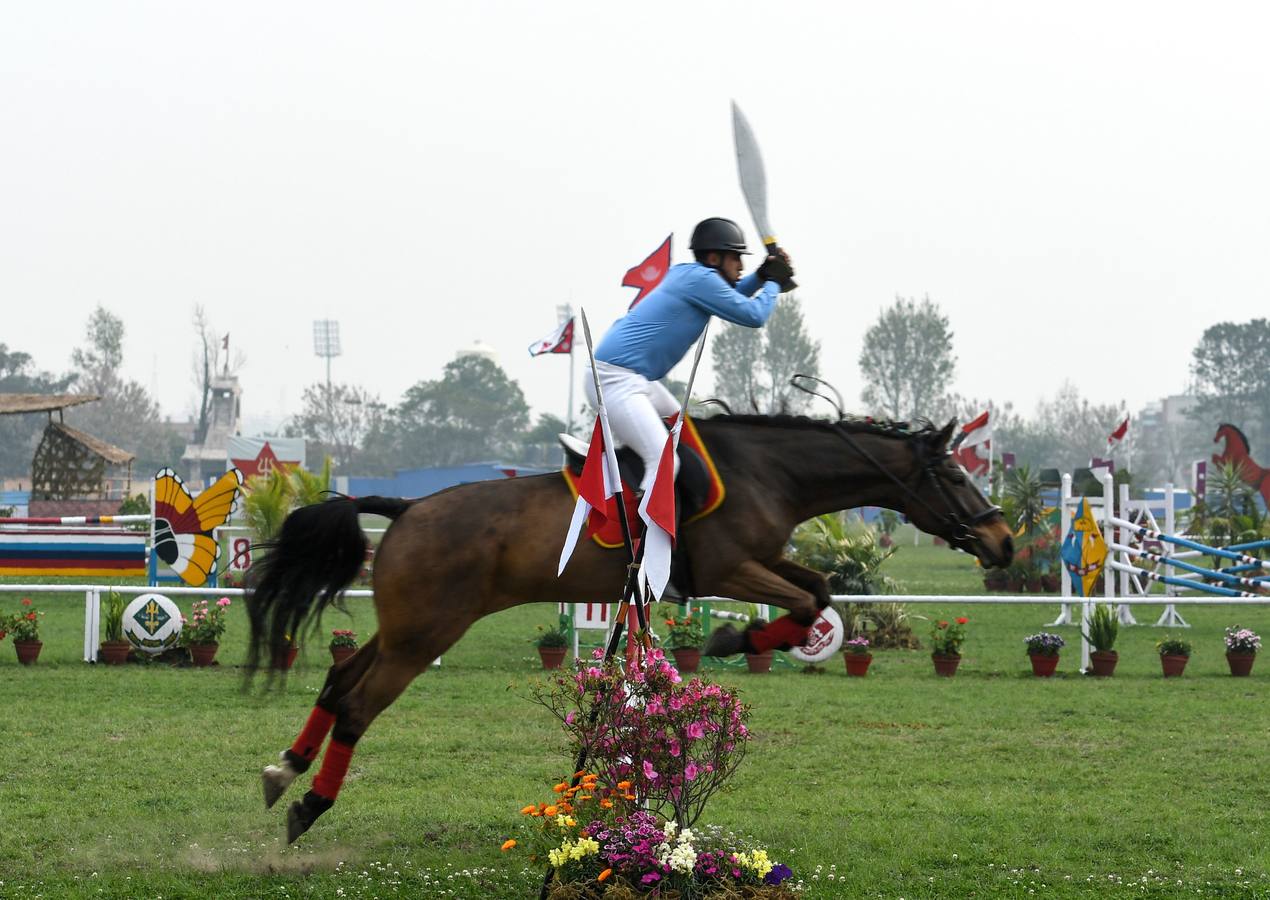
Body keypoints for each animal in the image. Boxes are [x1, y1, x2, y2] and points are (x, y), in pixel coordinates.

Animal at [250, 413, 1010, 842]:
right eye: (955, 476)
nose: (1003, 542)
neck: (768, 470)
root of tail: (405, 507)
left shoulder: (763, 562)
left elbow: (816, 593)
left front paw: (740, 640)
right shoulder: (732, 568)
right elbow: (804, 602)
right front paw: (733, 640)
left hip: (406, 627)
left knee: (337, 679)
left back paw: (283, 768)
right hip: (425, 635)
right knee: (357, 705)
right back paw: (309, 803)